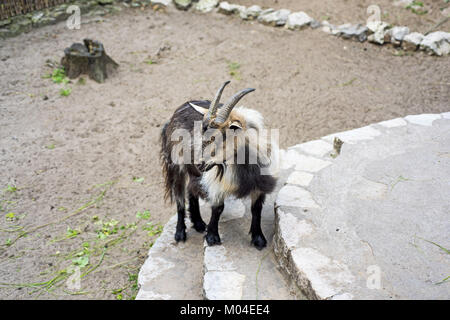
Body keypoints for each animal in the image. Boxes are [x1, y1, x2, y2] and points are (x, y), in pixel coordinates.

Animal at [160, 80, 276, 250]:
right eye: (203, 132)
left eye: (220, 137)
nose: (199, 163)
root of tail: (175, 114)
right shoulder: (216, 183)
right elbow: (218, 208)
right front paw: (212, 237)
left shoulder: (260, 184)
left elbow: (256, 209)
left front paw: (259, 239)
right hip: (176, 166)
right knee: (179, 196)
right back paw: (180, 233)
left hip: (193, 172)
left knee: (191, 189)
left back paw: (199, 224)